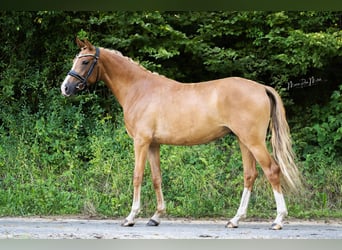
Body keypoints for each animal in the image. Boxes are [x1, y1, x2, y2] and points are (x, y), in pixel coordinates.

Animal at [62, 39, 302, 230]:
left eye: (85, 62)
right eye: (76, 59)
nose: (65, 88)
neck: (139, 89)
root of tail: (261, 88)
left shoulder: (141, 142)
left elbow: (137, 176)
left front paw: (131, 217)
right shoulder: (153, 144)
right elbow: (157, 178)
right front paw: (156, 216)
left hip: (254, 141)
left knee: (272, 170)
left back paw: (278, 220)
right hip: (244, 141)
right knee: (250, 175)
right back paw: (235, 219)